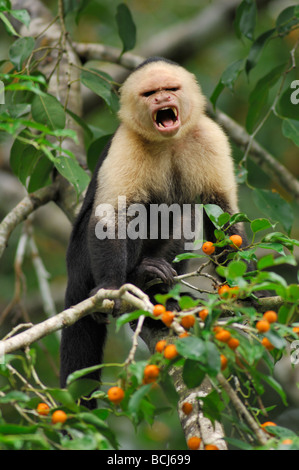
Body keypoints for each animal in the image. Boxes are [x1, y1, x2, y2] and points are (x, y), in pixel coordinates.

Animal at [60, 56, 248, 408]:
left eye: (170, 88)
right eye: (150, 93)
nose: (162, 99)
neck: (168, 141)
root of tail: (72, 279)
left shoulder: (210, 136)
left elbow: (223, 217)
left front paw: (248, 289)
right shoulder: (126, 143)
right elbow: (112, 217)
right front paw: (112, 287)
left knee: (184, 212)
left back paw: (160, 291)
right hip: (80, 262)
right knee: (141, 210)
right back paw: (139, 278)